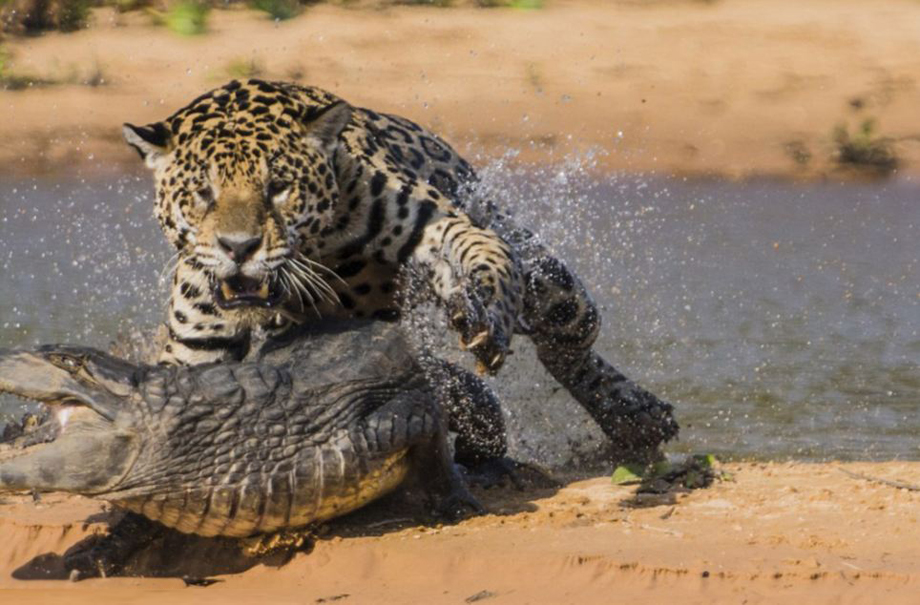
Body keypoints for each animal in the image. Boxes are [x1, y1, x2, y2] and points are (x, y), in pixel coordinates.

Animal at [123, 79, 678, 457]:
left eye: (278, 187)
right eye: (202, 193)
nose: (239, 247)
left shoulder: (441, 223)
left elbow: (488, 263)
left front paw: (487, 322)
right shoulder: (198, 349)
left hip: (550, 283)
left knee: (567, 341)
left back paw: (636, 416)